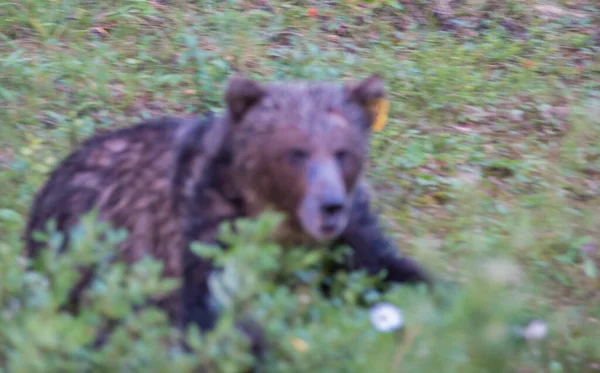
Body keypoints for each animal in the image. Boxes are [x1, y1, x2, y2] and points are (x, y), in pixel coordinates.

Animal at [22, 74, 432, 354]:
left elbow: (385, 268)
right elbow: (213, 316)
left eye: (343, 151)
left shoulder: (351, 233)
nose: (330, 206)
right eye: (296, 151)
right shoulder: (204, 232)